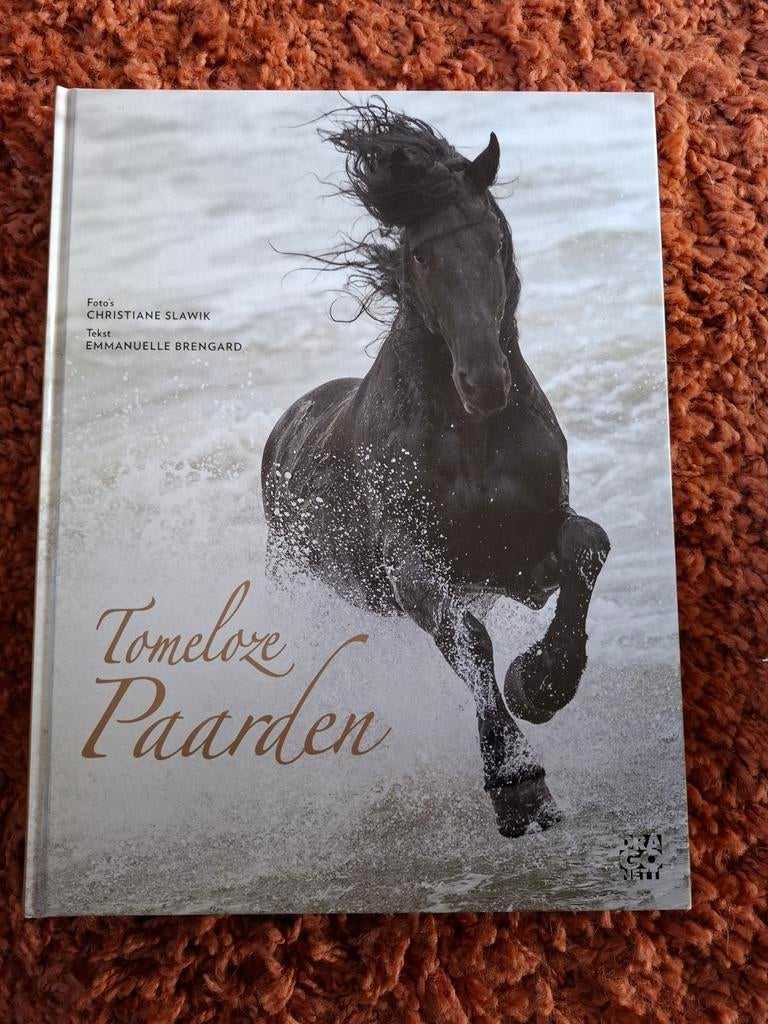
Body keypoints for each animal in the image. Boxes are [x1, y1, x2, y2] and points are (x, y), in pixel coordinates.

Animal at [261, 100, 610, 837]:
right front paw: (518, 787)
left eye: (495, 241)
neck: (471, 435)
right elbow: (470, 642)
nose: (483, 381)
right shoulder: (416, 568)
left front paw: (541, 683)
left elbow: (586, 544)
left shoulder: (523, 558)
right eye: (420, 254)